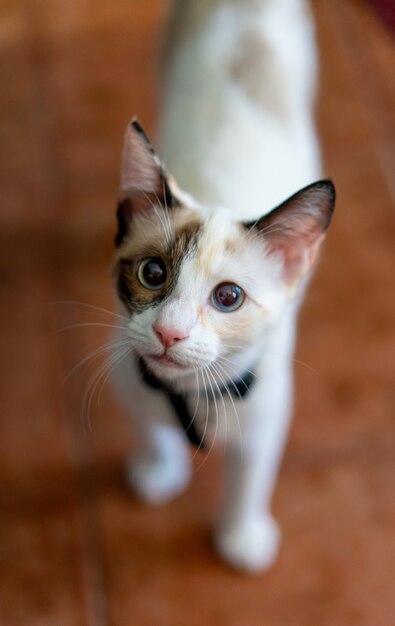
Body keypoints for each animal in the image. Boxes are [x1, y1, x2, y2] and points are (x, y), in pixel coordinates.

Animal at [112, 0, 338, 568]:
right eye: (152, 273)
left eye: (228, 297)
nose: (169, 332)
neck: (189, 395)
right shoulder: (127, 375)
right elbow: (149, 426)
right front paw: (159, 468)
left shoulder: (266, 409)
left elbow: (251, 475)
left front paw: (241, 536)